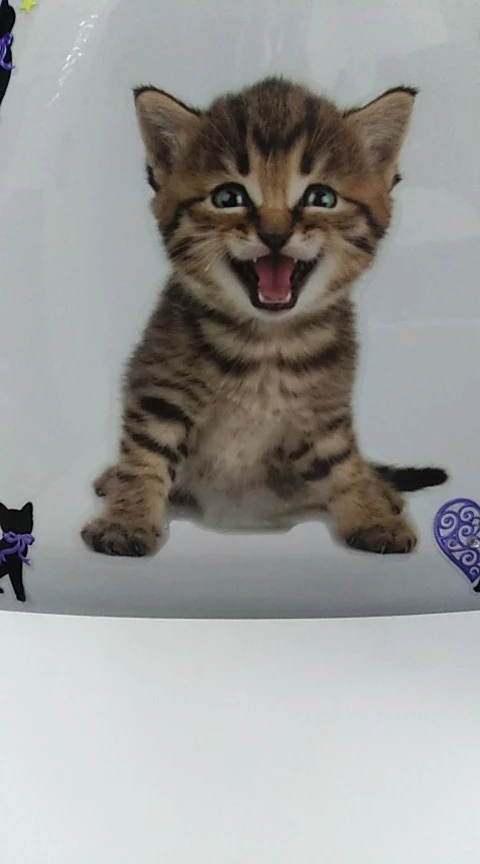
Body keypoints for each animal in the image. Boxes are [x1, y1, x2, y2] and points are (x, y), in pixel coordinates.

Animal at [81, 76, 447, 557]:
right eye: (228, 197)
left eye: (321, 198)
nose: (275, 233)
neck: (267, 345)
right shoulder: (159, 386)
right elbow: (144, 456)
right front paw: (126, 520)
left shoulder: (324, 409)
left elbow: (343, 462)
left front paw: (370, 515)